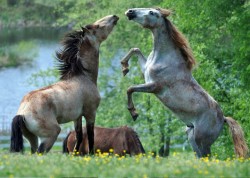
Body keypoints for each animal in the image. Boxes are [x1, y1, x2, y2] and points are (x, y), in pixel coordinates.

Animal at [9, 14, 119, 154]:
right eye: (97, 26)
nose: (114, 17)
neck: (83, 77)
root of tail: (22, 113)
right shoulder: (90, 113)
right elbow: (90, 137)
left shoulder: (77, 117)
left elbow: (79, 136)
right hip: (51, 135)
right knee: (40, 152)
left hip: (32, 138)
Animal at [120, 8, 248, 159]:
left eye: (152, 12)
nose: (130, 12)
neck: (164, 58)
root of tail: (223, 119)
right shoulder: (146, 71)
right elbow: (135, 49)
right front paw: (124, 67)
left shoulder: (154, 86)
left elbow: (130, 88)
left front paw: (133, 113)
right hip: (191, 138)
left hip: (201, 141)